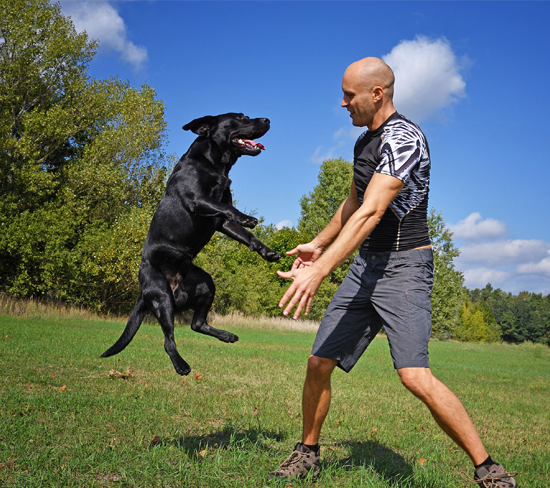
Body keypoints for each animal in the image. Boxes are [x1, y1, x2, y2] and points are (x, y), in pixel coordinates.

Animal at [103, 113, 282, 374]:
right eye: (240, 117)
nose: (267, 119)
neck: (213, 164)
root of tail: (143, 291)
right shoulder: (198, 200)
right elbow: (227, 208)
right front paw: (246, 217)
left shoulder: (220, 222)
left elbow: (246, 235)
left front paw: (266, 251)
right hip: (162, 298)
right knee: (169, 341)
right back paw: (181, 365)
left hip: (206, 284)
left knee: (197, 324)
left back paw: (227, 336)